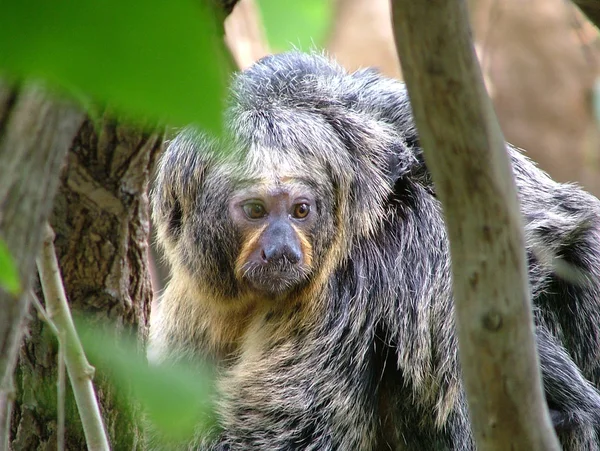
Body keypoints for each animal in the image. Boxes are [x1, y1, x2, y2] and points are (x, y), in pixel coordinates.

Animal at [148, 51, 600, 450]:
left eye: (301, 211)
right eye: (256, 211)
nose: (281, 252)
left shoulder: (355, 285)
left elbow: (293, 430)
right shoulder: (197, 304)